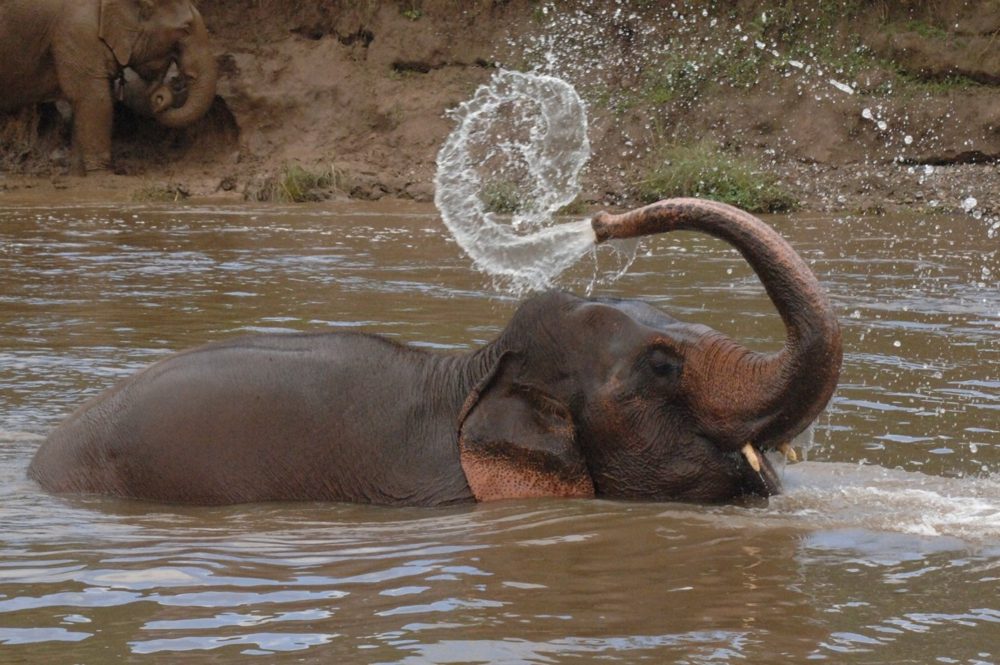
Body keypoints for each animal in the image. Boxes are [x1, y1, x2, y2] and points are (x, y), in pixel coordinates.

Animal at [0, 0, 218, 173]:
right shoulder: (77, 30)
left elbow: (83, 106)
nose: (160, 95)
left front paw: (79, 175)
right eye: (186, 29)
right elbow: (95, 99)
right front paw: (101, 174)